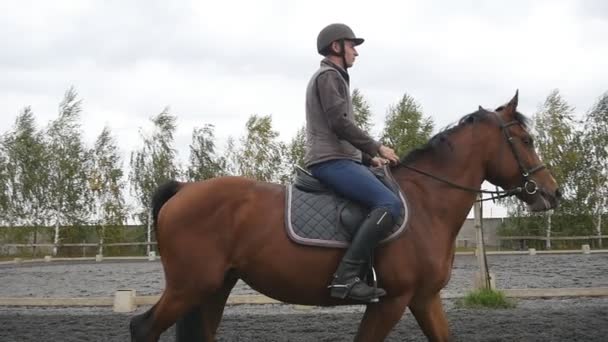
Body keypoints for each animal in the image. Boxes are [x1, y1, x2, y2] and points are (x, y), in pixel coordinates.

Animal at [129, 92, 560, 340]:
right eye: (526, 140)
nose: (552, 192)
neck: (426, 203)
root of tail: (185, 189)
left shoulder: (425, 298)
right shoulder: (391, 300)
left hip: (215, 287)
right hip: (189, 286)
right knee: (143, 328)